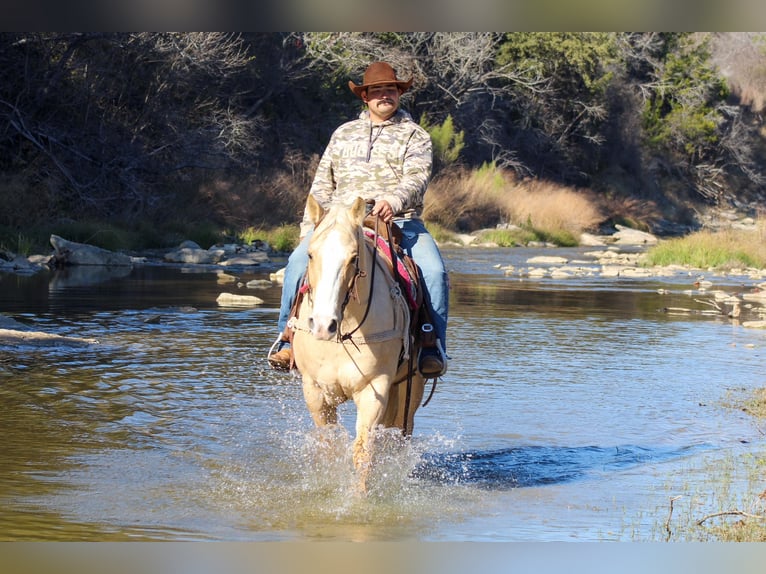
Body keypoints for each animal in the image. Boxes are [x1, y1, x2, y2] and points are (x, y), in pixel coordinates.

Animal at [289, 194, 427, 493]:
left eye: (354, 258)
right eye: (310, 254)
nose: (322, 325)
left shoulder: (374, 389)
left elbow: (363, 451)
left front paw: (358, 497)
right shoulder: (314, 390)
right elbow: (329, 446)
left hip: (410, 387)